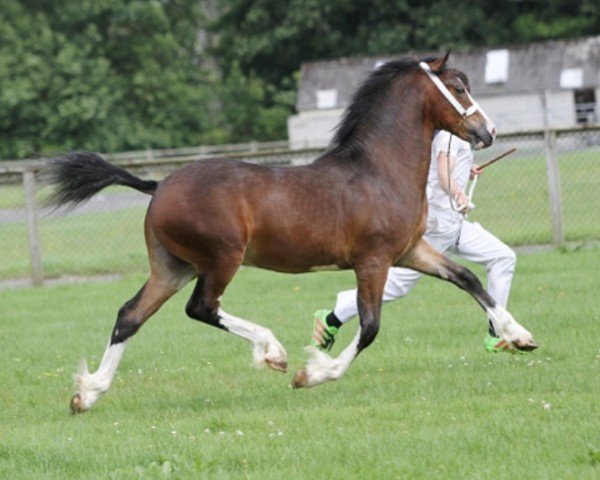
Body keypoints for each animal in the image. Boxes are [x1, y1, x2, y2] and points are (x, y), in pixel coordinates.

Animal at [44, 51, 536, 412]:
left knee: (130, 315)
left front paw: (518, 336)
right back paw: (272, 350)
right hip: (221, 259)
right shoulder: (373, 261)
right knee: (201, 307)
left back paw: (88, 393)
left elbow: (467, 278)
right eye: (458, 88)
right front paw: (312, 373)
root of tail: (159, 184)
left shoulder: (411, 250)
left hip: (174, 266)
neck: (379, 170)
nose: (488, 131)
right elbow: (371, 326)